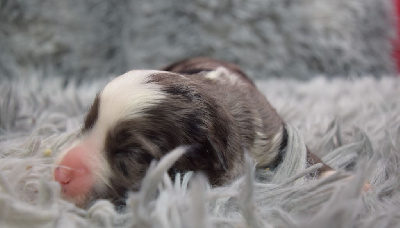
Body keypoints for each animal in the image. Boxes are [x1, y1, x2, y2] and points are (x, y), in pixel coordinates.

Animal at [54, 57, 332, 208]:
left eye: (132, 154)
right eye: (87, 125)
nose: (60, 174)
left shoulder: (275, 130)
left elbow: (303, 153)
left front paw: (335, 178)